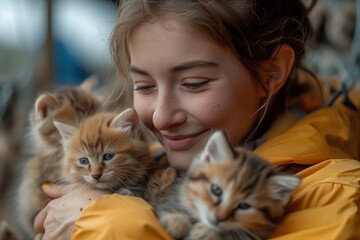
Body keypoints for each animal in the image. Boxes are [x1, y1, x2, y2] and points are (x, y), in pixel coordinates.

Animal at [156, 131, 300, 240]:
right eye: (216, 190)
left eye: (244, 205)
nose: (218, 218)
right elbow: (168, 206)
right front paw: (175, 221)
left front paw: (207, 232)